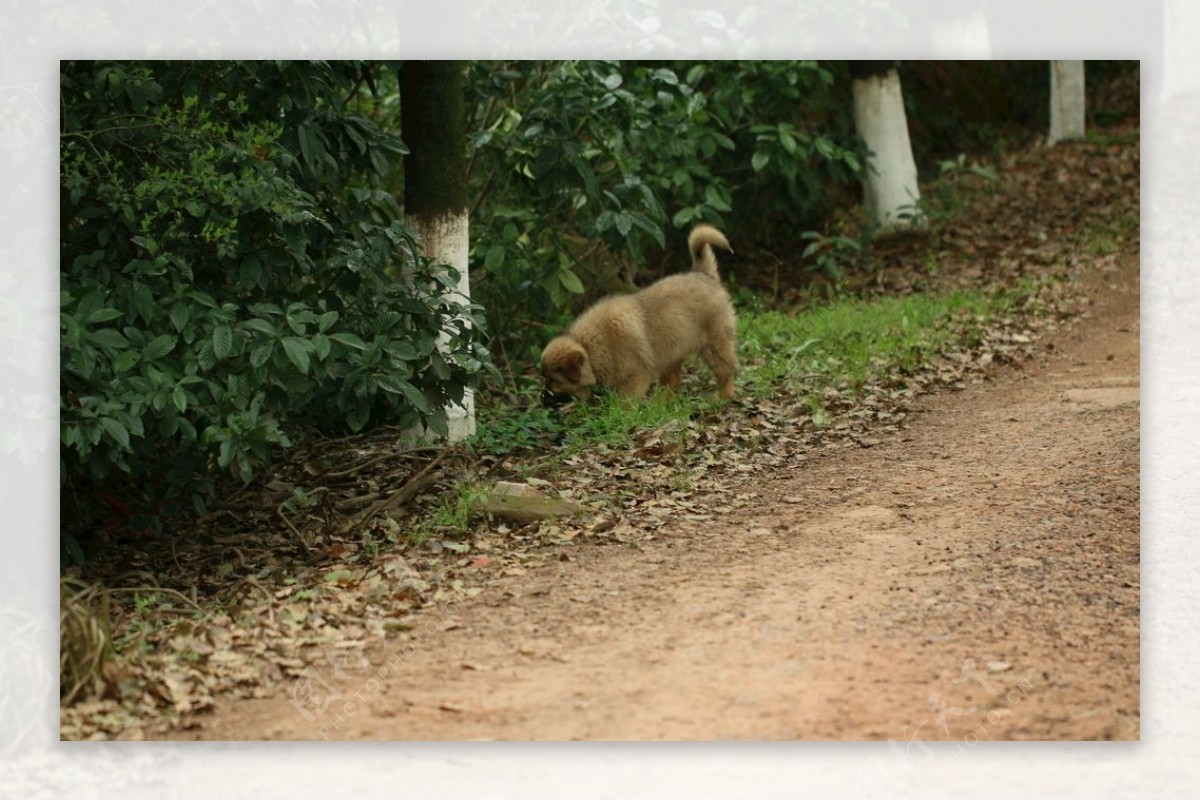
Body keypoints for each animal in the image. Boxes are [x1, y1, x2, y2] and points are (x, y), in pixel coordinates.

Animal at [542, 224, 729, 400]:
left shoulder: (635, 376)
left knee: (726, 371)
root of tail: (703, 274)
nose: (542, 399)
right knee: (672, 381)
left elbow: (624, 402)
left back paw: (724, 397)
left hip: (715, 343)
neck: (590, 344)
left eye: (554, 381)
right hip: (672, 351)